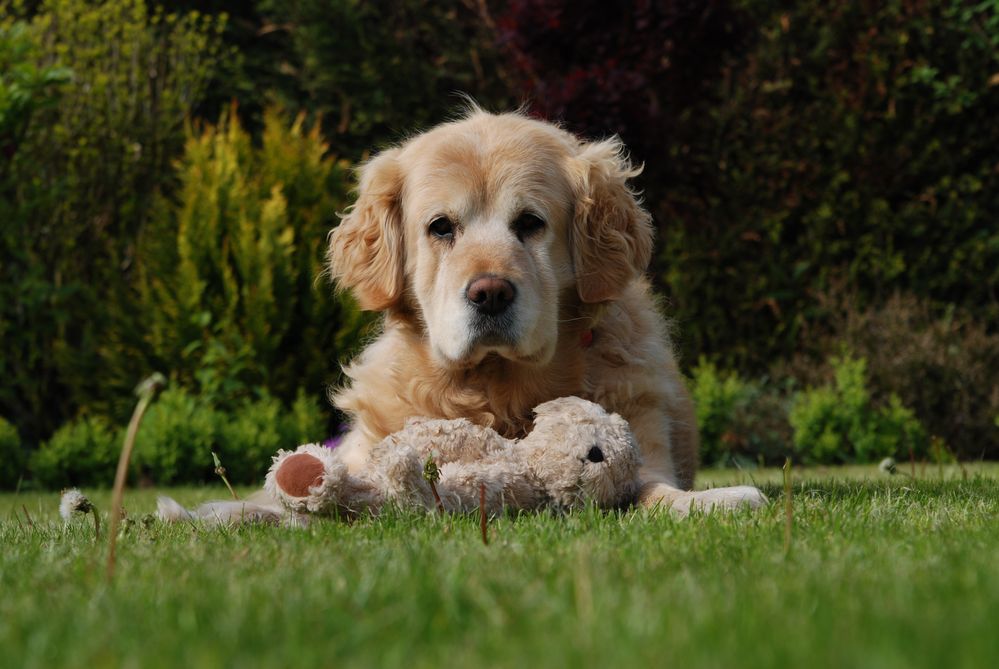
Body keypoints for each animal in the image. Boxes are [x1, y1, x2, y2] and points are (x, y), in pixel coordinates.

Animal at [324, 108, 760, 516]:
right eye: (441, 226)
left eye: (530, 222)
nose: (490, 293)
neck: (502, 390)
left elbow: (655, 490)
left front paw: (715, 500)